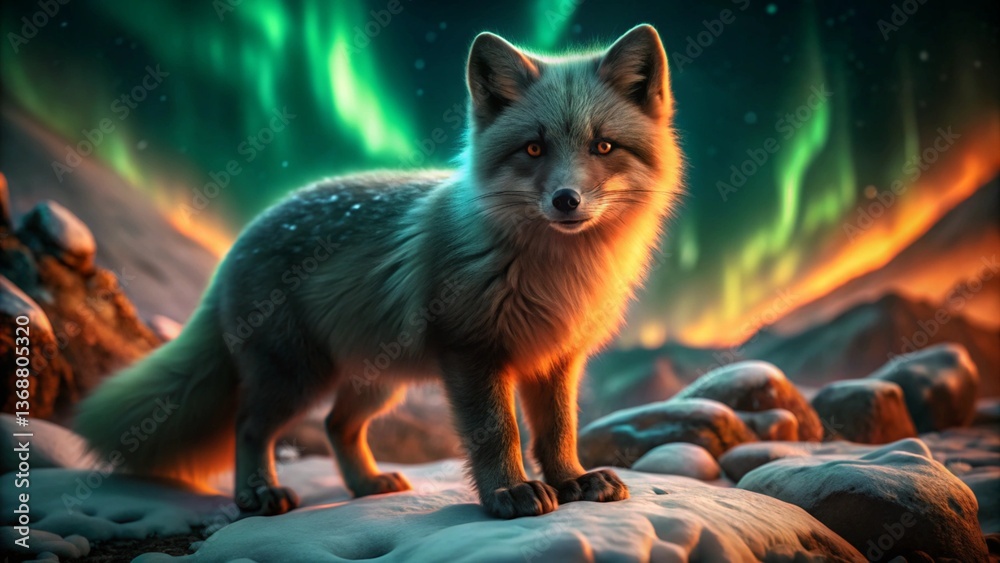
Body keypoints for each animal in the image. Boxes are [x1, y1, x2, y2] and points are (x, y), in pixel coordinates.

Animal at [75, 24, 682, 519]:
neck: (554, 274)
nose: (566, 201)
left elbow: (558, 432)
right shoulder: (472, 350)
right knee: (248, 426)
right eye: (533, 149)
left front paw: (573, 481)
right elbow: (497, 433)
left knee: (335, 425)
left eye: (603, 146)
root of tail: (242, 238)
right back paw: (259, 494)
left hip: (377, 381)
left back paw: (366, 484)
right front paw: (508, 494)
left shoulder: (557, 358)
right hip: (297, 376)